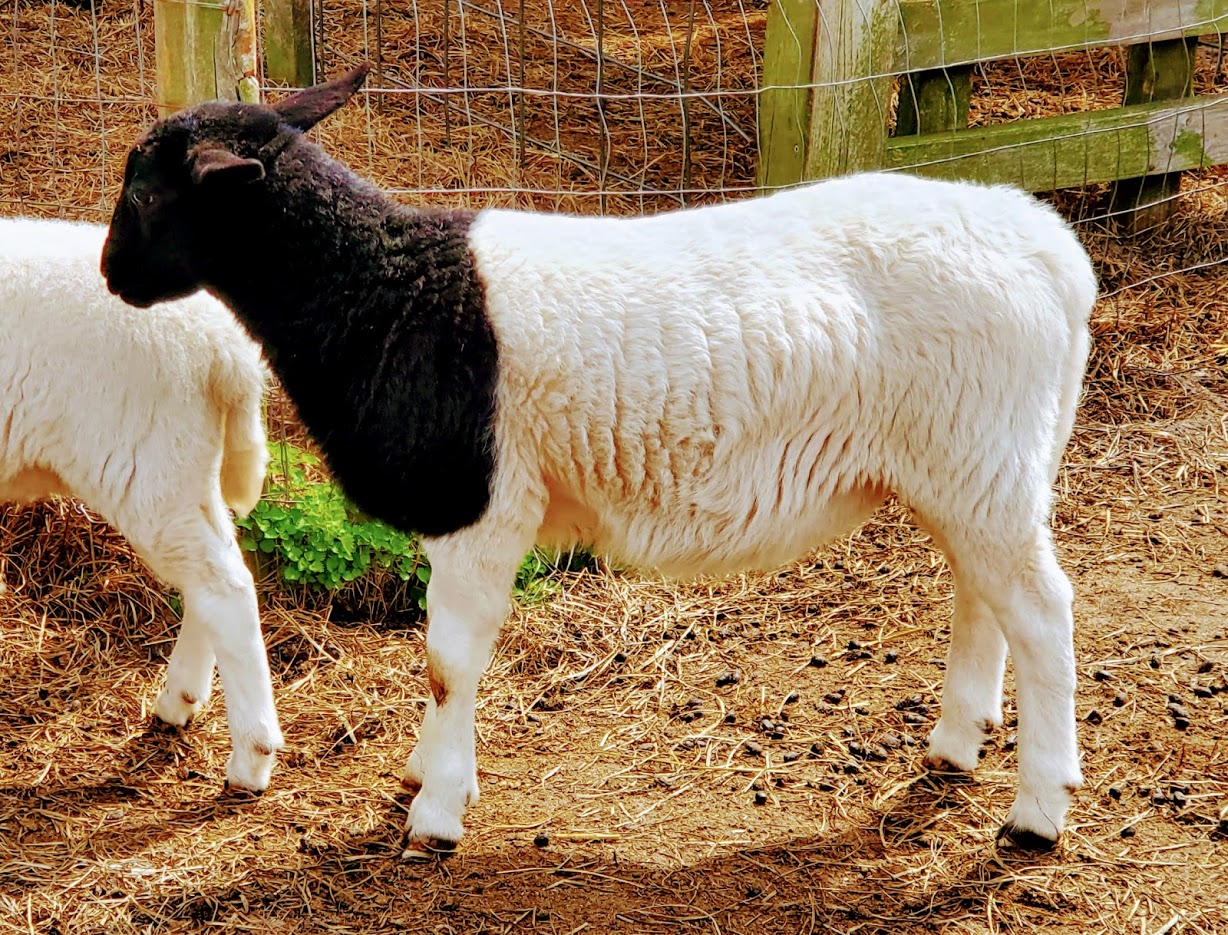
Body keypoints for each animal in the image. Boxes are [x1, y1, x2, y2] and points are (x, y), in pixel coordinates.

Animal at [2, 216, 282, 790]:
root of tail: (223, 345)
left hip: (144, 465)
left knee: (225, 588)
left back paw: (251, 759)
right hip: (182, 465)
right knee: (216, 573)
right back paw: (180, 700)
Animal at [101, 65, 1097, 855]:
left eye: (145, 196)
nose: (111, 276)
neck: (384, 290)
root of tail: (1051, 248)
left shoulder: (480, 505)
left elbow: (449, 659)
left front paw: (438, 812)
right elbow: (444, 665)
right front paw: (428, 768)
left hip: (980, 456)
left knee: (1042, 614)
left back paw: (1037, 811)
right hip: (978, 463)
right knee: (983, 596)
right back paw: (957, 743)